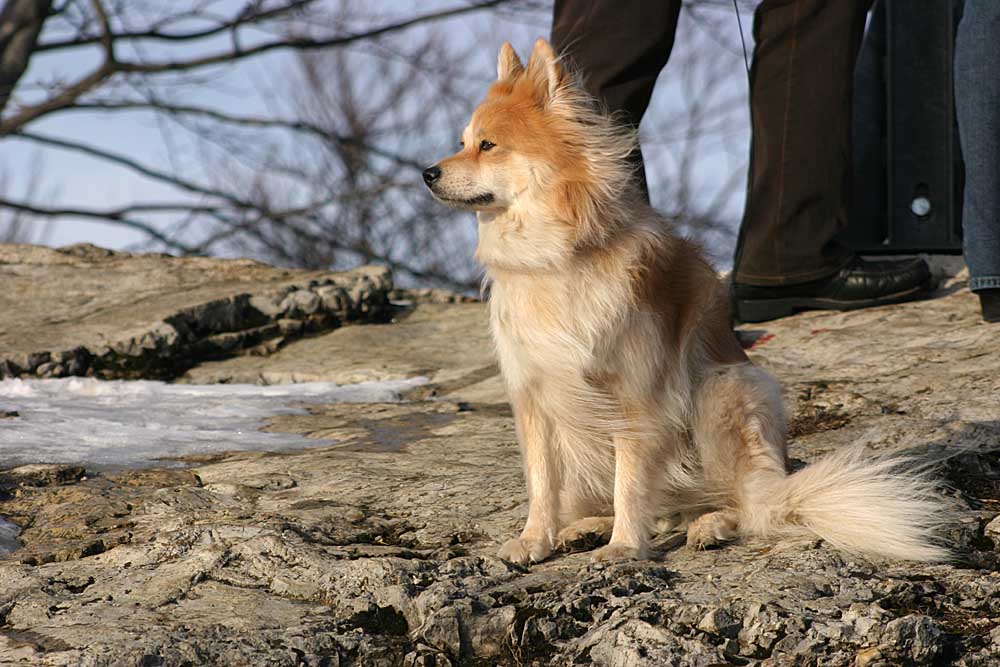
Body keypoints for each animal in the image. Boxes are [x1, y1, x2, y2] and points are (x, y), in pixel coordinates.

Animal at [420, 39, 944, 568]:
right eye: (463, 141)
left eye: (487, 145)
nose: (427, 172)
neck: (553, 258)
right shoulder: (535, 395)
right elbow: (543, 481)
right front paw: (535, 539)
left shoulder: (636, 396)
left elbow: (631, 481)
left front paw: (625, 546)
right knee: (663, 508)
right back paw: (589, 527)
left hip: (724, 391)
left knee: (748, 505)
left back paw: (710, 523)